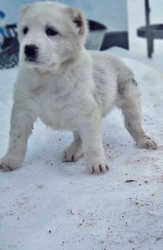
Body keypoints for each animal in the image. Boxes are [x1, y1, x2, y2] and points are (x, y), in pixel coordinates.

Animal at [0, 1, 158, 174]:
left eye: (51, 31)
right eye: (25, 30)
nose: (28, 48)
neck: (48, 76)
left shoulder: (88, 114)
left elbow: (92, 143)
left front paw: (97, 164)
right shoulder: (22, 111)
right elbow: (16, 139)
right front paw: (11, 161)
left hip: (130, 100)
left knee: (133, 125)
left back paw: (145, 140)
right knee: (78, 136)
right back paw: (74, 150)